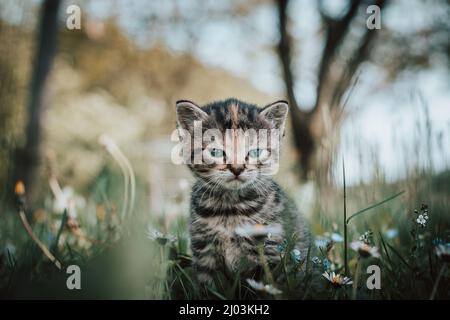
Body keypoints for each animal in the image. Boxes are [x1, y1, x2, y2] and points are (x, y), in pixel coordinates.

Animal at [176, 97, 310, 284]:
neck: (230, 208)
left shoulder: (269, 251)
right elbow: (208, 285)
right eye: (215, 152)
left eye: (256, 152)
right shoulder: (204, 250)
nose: (237, 168)